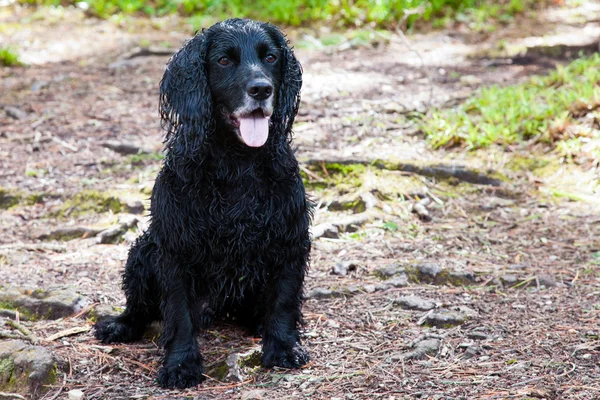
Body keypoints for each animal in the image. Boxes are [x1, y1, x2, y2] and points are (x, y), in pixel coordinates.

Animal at [95, 18, 310, 388]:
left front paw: (283, 346)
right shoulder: (174, 249)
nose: (261, 89)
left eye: (270, 57)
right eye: (224, 60)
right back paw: (120, 325)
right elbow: (178, 313)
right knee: (139, 309)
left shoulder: (290, 239)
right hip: (142, 250)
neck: (238, 163)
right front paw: (181, 364)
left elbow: (283, 300)